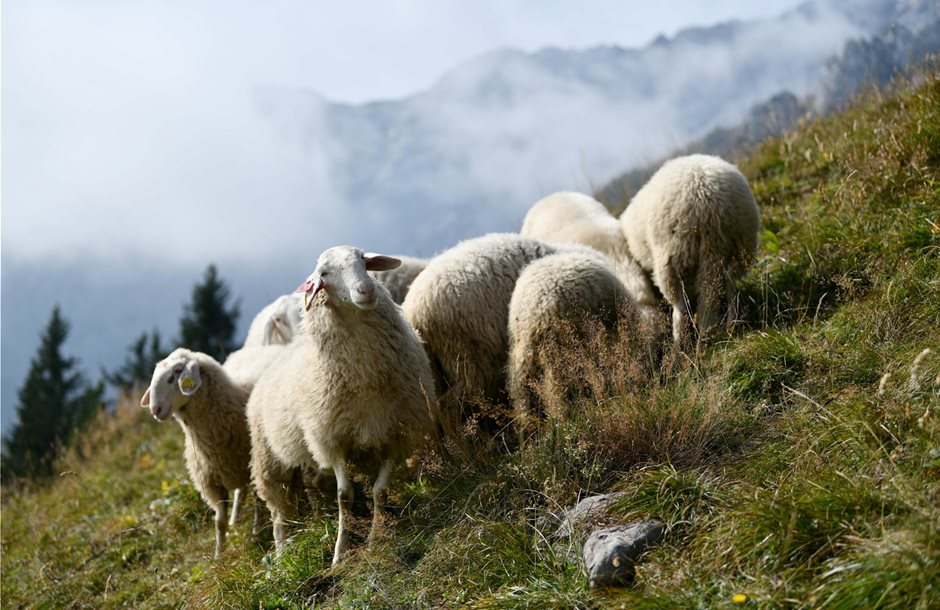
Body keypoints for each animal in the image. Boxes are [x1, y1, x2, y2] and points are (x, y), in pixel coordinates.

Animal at [246, 245, 436, 564]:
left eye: (364, 262)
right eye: (324, 273)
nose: (366, 289)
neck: (364, 377)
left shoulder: (394, 433)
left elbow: (380, 490)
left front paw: (375, 540)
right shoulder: (332, 439)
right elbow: (344, 495)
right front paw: (340, 553)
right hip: (269, 459)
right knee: (279, 511)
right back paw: (282, 554)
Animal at [620, 154, 760, 350]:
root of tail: (709, 205)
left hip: (671, 256)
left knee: (680, 305)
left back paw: (683, 341)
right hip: (740, 247)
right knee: (728, 285)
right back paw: (729, 325)